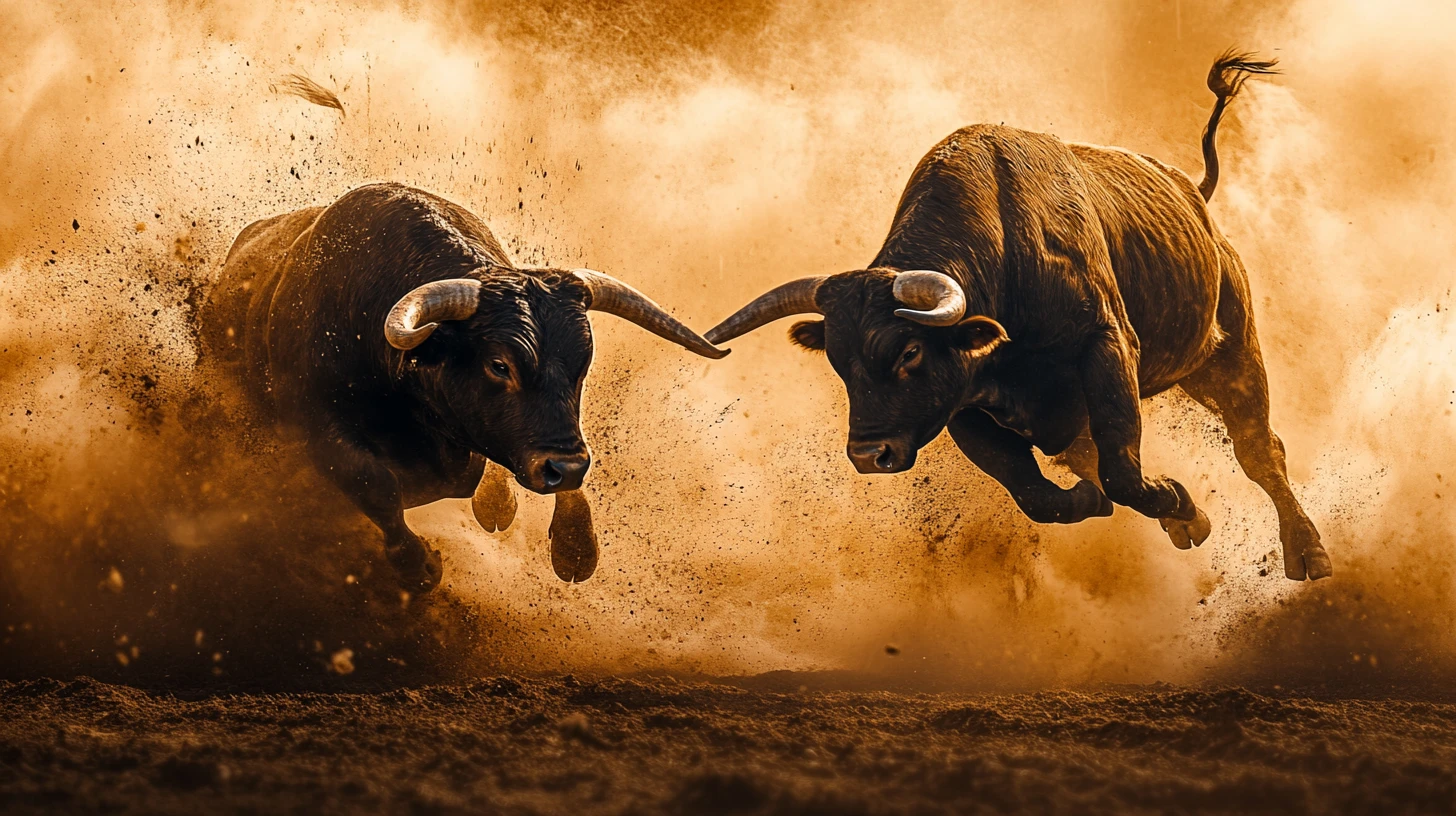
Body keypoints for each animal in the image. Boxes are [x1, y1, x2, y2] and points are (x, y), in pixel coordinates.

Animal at [201, 182, 727, 592]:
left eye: (582, 364)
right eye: (499, 365)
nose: (565, 466)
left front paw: (575, 547)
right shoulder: (319, 431)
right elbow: (376, 485)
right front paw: (419, 566)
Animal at [705, 51, 1332, 581]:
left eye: (909, 350)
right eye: (838, 361)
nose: (868, 455)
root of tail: (1194, 194)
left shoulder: (1107, 347)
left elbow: (1123, 468)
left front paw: (1175, 497)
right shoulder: (966, 406)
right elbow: (1041, 493)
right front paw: (1134, 504)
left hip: (1231, 352)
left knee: (1258, 449)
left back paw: (1308, 553)